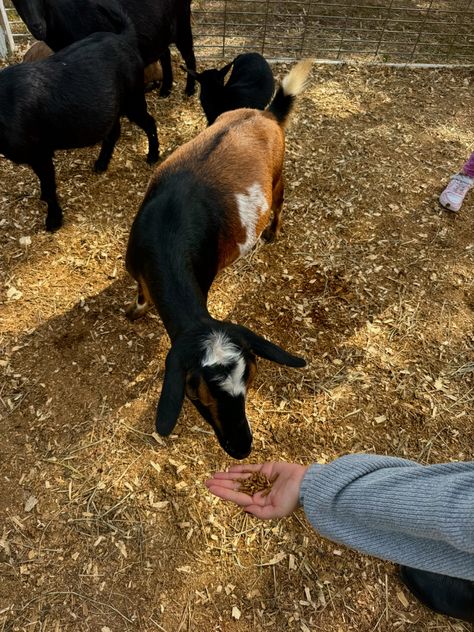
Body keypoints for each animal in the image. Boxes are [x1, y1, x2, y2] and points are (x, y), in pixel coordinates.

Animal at [0, 8, 159, 232]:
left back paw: (152, 157)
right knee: (113, 132)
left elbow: (49, 185)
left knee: (149, 122)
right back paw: (100, 165)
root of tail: (124, 37)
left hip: (133, 98)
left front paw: (53, 223)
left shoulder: (39, 152)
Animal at [11, 0, 196, 96]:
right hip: (159, 31)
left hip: (181, 23)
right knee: (165, 54)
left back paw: (189, 89)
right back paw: (166, 89)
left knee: (189, 55)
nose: (37, 26)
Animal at [124, 59, 312, 460]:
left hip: (277, 177)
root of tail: (266, 114)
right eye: (196, 391)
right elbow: (141, 294)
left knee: (280, 202)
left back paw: (271, 234)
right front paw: (135, 311)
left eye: (251, 379)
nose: (241, 447)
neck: (168, 232)